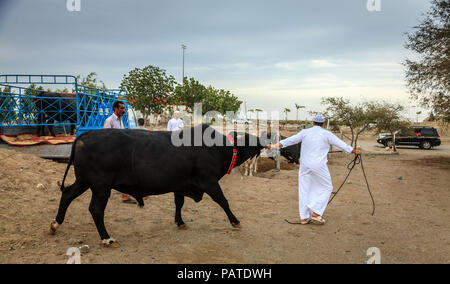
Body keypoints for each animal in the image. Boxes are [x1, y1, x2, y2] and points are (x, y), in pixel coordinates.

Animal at [51, 125, 272, 246]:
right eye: (248, 139)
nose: (265, 140)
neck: (217, 148)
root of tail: (84, 135)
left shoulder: (180, 185)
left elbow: (179, 204)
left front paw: (180, 222)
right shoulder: (209, 182)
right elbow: (223, 201)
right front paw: (235, 221)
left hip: (83, 182)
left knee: (67, 194)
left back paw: (56, 224)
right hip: (100, 187)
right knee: (96, 210)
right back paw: (107, 238)